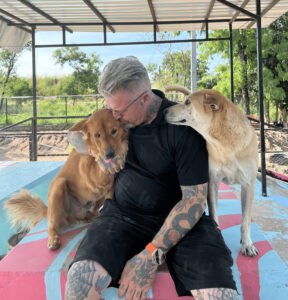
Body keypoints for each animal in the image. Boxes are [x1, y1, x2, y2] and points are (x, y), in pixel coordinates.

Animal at [4, 109, 128, 250]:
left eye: (114, 131)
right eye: (97, 135)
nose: (109, 154)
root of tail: (48, 210)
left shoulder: (110, 188)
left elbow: (110, 197)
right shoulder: (94, 175)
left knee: (91, 213)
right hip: (58, 187)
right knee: (51, 224)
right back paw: (53, 238)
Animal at [164, 85, 258, 256]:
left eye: (187, 102)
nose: (163, 112)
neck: (225, 143)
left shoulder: (248, 185)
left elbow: (245, 220)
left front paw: (247, 243)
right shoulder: (212, 181)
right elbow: (214, 214)